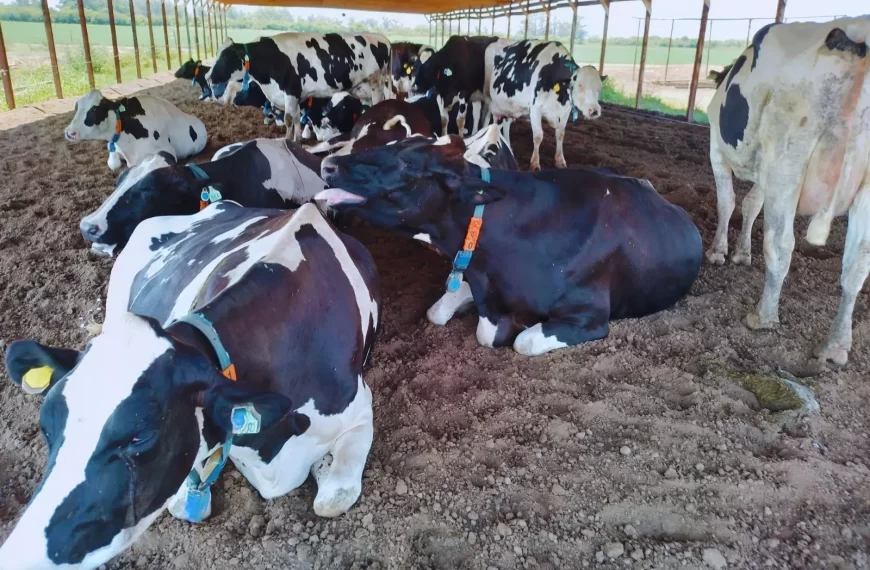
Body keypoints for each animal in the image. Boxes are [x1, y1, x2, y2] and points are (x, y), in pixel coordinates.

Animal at [0, 202, 381, 570]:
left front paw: (323, 465)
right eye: (46, 428)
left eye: (141, 436)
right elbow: (185, 502)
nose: (19, 556)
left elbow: (332, 499)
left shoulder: (361, 409)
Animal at [206, 33, 392, 142]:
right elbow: (296, 119)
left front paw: (287, 142)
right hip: (363, 88)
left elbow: (288, 119)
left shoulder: (291, 91)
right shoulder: (296, 97)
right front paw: (296, 142)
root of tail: (383, 39)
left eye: (226, 57)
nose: (207, 77)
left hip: (376, 83)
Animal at [316, 134, 701, 356]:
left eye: (407, 165)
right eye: (392, 145)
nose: (328, 163)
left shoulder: (588, 316)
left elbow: (520, 340)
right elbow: (438, 312)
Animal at [485, 39, 603, 171]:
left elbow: (560, 133)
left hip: (509, 106)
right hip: (487, 98)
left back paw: (509, 149)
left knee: (505, 123)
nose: (594, 110)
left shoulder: (566, 110)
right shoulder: (535, 108)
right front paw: (535, 164)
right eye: (579, 85)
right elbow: (538, 136)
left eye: (599, 88)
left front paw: (560, 160)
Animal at [706, 17, 870, 366]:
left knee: (781, 245)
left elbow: (728, 202)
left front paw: (718, 251)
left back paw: (764, 317)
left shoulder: (716, 148)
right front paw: (741, 253)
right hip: (865, 187)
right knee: (857, 264)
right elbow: (751, 204)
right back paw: (836, 345)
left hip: (788, 162)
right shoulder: (764, 172)